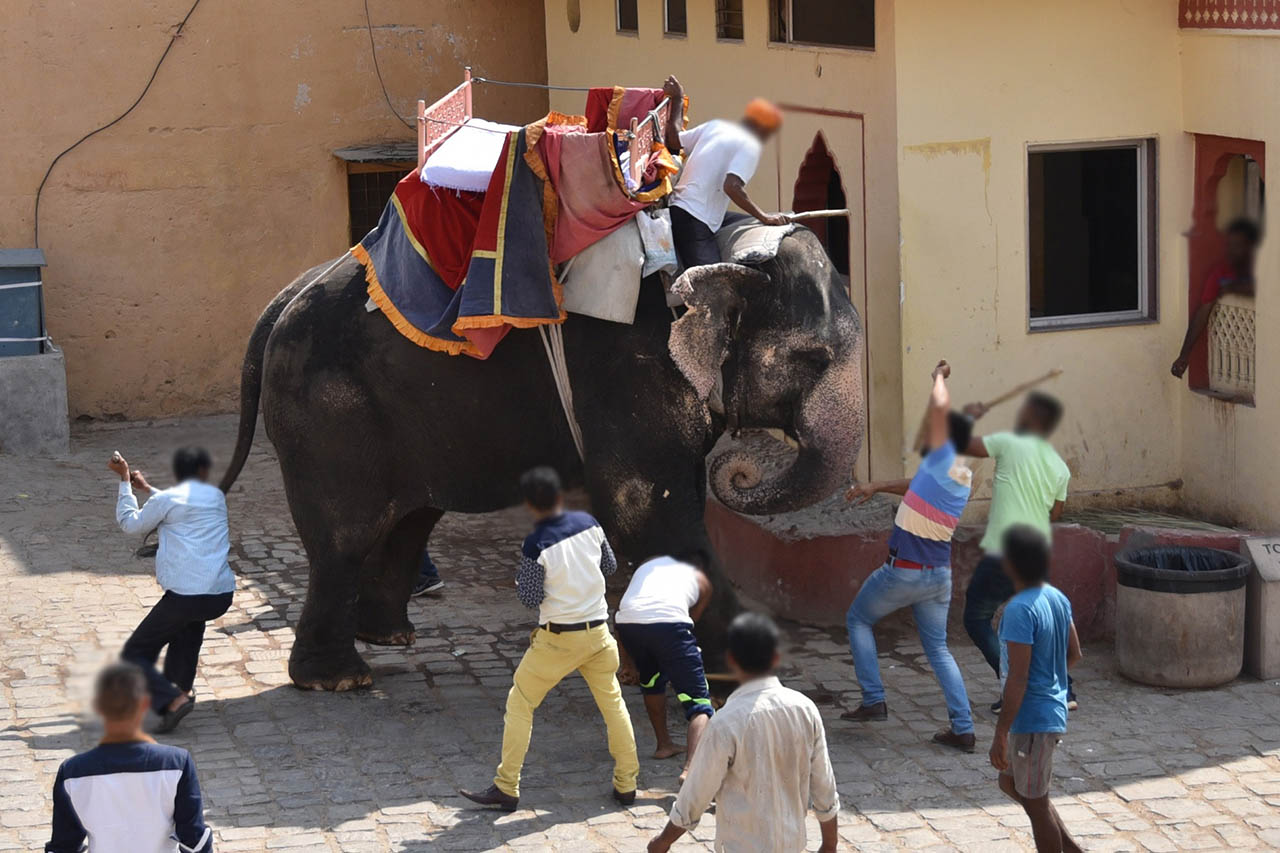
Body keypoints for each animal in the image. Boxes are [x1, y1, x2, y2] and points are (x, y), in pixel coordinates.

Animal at [220, 227, 865, 691]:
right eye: (811, 358)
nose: (739, 466)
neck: (722, 254)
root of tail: (284, 299)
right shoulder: (634, 379)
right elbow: (646, 513)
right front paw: (737, 671)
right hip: (331, 414)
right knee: (345, 535)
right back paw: (339, 679)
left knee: (410, 519)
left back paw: (390, 638)